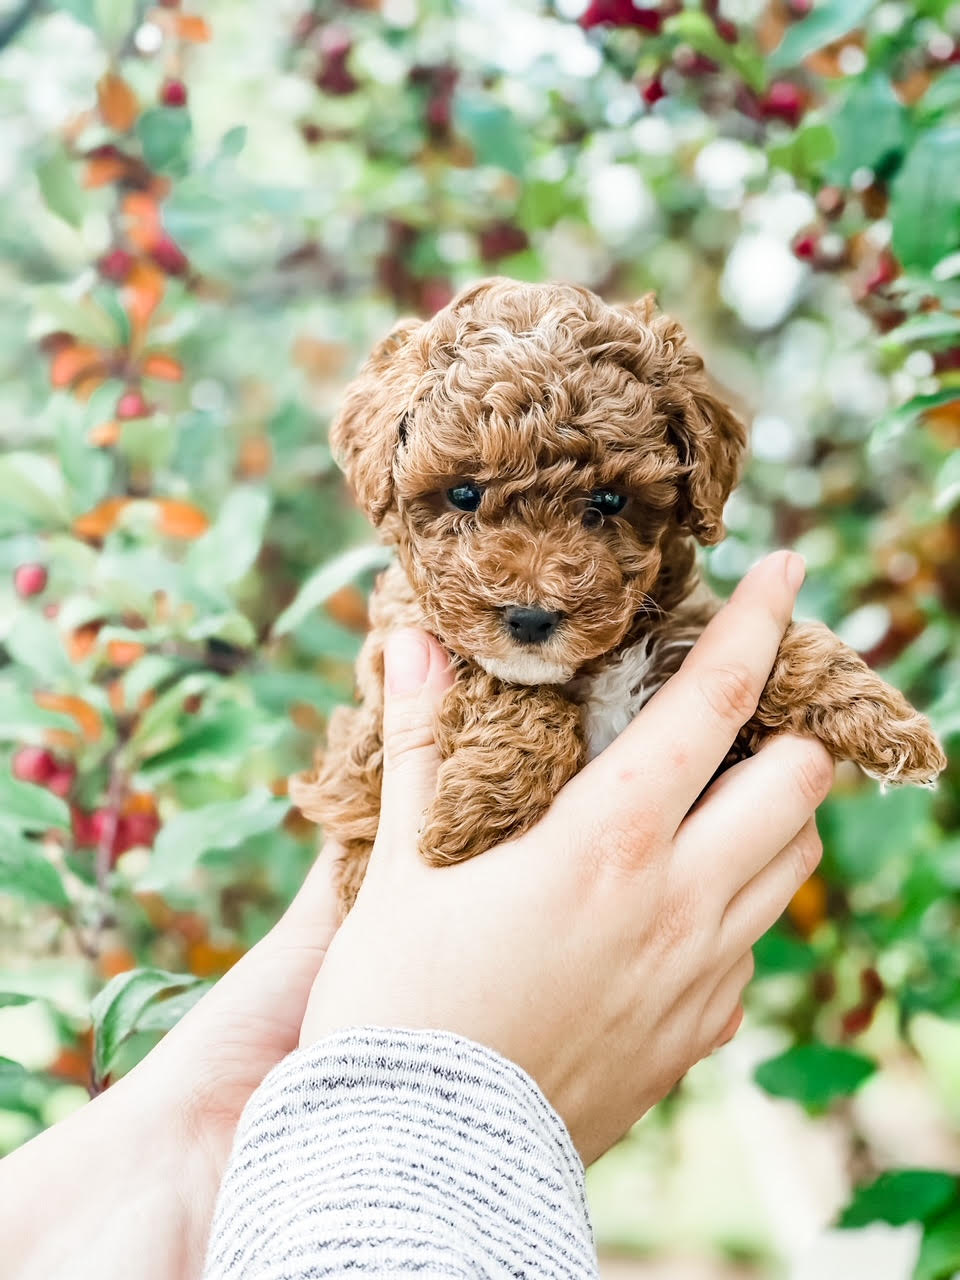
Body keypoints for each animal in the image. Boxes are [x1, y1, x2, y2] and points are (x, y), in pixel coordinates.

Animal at [291, 277, 947, 911]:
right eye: (463, 495)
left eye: (608, 502)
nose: (530, 618)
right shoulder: (389, 680)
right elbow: (497, 682)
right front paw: (480, 806)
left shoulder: (684, 638)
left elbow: (785, 651)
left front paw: (886, 721)